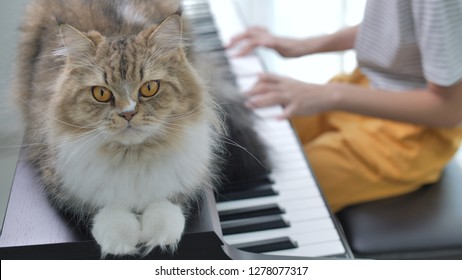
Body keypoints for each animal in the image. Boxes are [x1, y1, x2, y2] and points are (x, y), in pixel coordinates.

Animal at [14, 0, 268, 258]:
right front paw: (120, 239)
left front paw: (160, 236)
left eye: (149, 88)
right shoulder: (60, 176)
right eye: (101, 93)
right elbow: (105, 205)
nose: (128, 113)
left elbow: (166, 200)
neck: (133, 157)